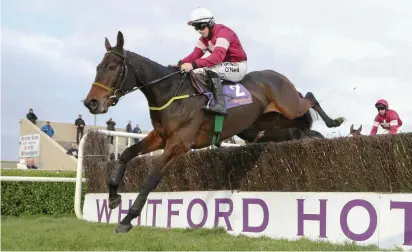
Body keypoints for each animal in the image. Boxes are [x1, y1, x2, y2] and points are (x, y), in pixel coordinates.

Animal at [81, 31, 344, 234]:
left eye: (111, 66)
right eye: (97, 67)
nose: (91, 103)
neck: (169, 92)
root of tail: (277, 75)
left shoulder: (178, 144)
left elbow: (151, 179)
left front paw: (127, 219)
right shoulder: (160, 137)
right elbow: (126, 155)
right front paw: (113, 198)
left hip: (289, 106)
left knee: (309, 97)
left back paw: (334, 121)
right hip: (272, 122)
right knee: (303, 123)